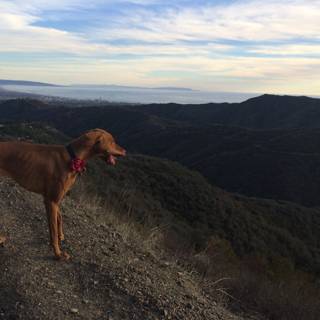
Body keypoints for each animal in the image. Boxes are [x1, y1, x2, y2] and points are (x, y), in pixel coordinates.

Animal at [0, 128, 125, 260]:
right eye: (112, 141)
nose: (125, 151)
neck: (73, 157)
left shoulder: (54, 200)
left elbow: (59, 218)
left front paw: (61, 235)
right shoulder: (51, 201)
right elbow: (53, 231)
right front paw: (58, 254)